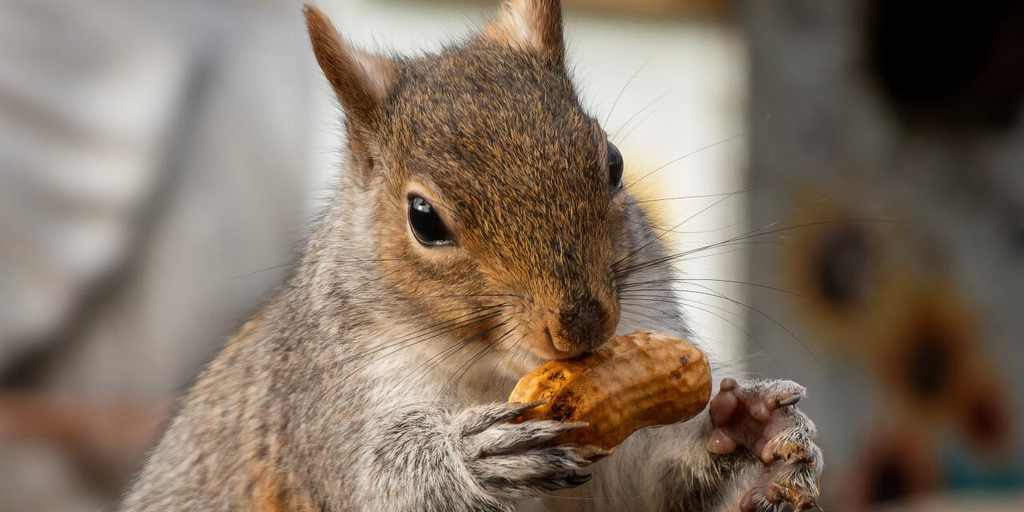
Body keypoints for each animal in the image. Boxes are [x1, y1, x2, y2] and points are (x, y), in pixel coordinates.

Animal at [119, 2, 823, 509]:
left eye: (614, 163)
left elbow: (644, 481)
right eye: (423, 219)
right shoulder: (328, 402)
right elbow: (378, 481)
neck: (492, 372)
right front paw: (473, 458)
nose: (583, 325)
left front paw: (750, 425)